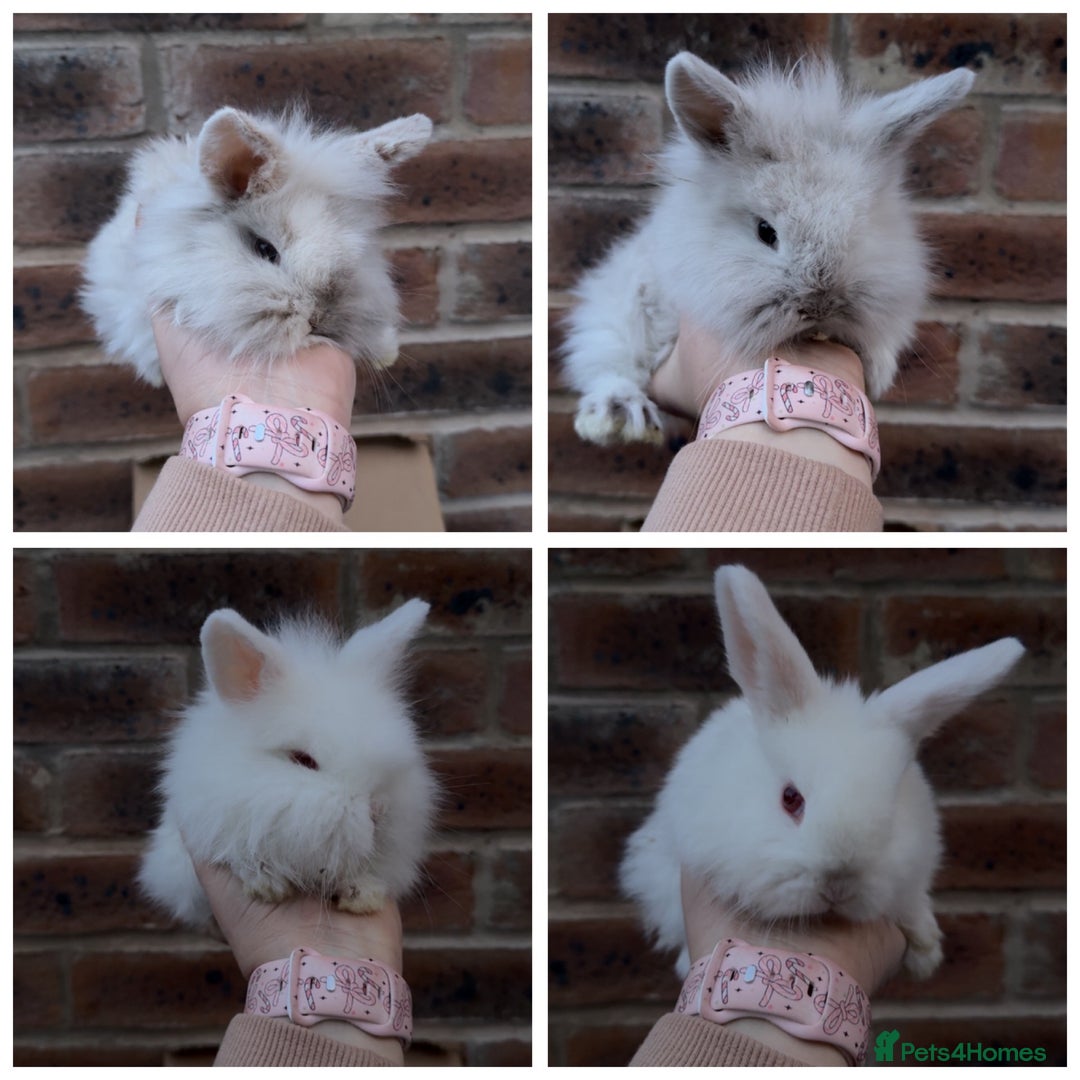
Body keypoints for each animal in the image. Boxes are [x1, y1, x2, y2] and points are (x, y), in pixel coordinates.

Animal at [563, 54, 976, 445]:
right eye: (765, 231)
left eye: (862, 227)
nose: (819, 306)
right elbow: (611, 357)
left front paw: (877, 372)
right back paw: (618, 414)